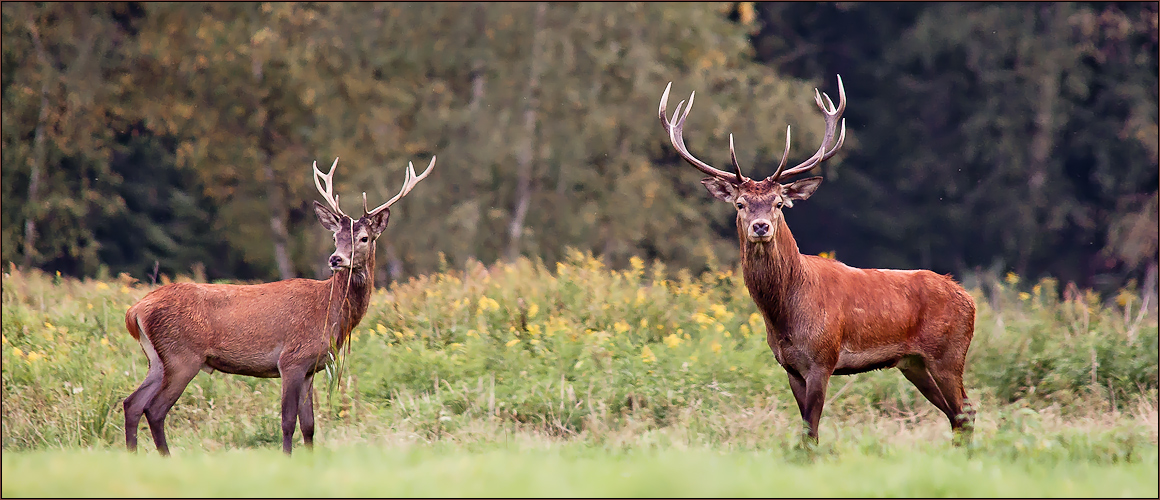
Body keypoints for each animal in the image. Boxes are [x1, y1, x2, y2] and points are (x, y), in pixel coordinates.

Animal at [123, 155, 436, 454]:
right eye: (335, 236)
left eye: (364, 238)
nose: (336, 259)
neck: (330, 312)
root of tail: (135, 311)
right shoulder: (291, 360)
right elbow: (287, 421)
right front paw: (287, 458)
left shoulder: (311, 367)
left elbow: (309, 425)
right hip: (182, 356)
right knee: (154, 409)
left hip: (157, 360)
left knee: (132, 403)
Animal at [658, 76, 974, 445]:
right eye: (740, 203)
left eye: (779, 202)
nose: (760, 226)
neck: (785, 315)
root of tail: (968, 298)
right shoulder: (790, 367)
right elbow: (805, 428)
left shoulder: (823, 359)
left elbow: (811, 430)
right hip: (914, 364)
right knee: (957, 415)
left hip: (948, 354)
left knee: (966, 411)